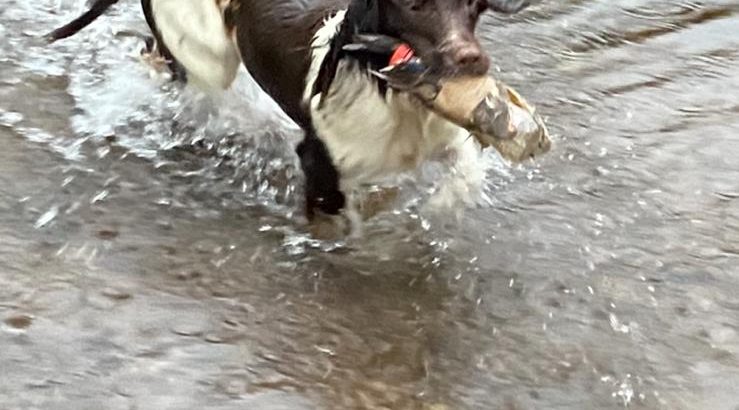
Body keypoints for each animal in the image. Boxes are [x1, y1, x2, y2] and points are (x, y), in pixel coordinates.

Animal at [47, 0, 532, 224]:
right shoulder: (319, 156)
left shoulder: (446, 133)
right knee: (171, 61)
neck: (389, 90)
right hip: (207, 55)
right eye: (414, 6)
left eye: (472, 5)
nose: (471, 60)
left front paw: (438, 208)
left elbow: (466, 173)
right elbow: (333, 208)